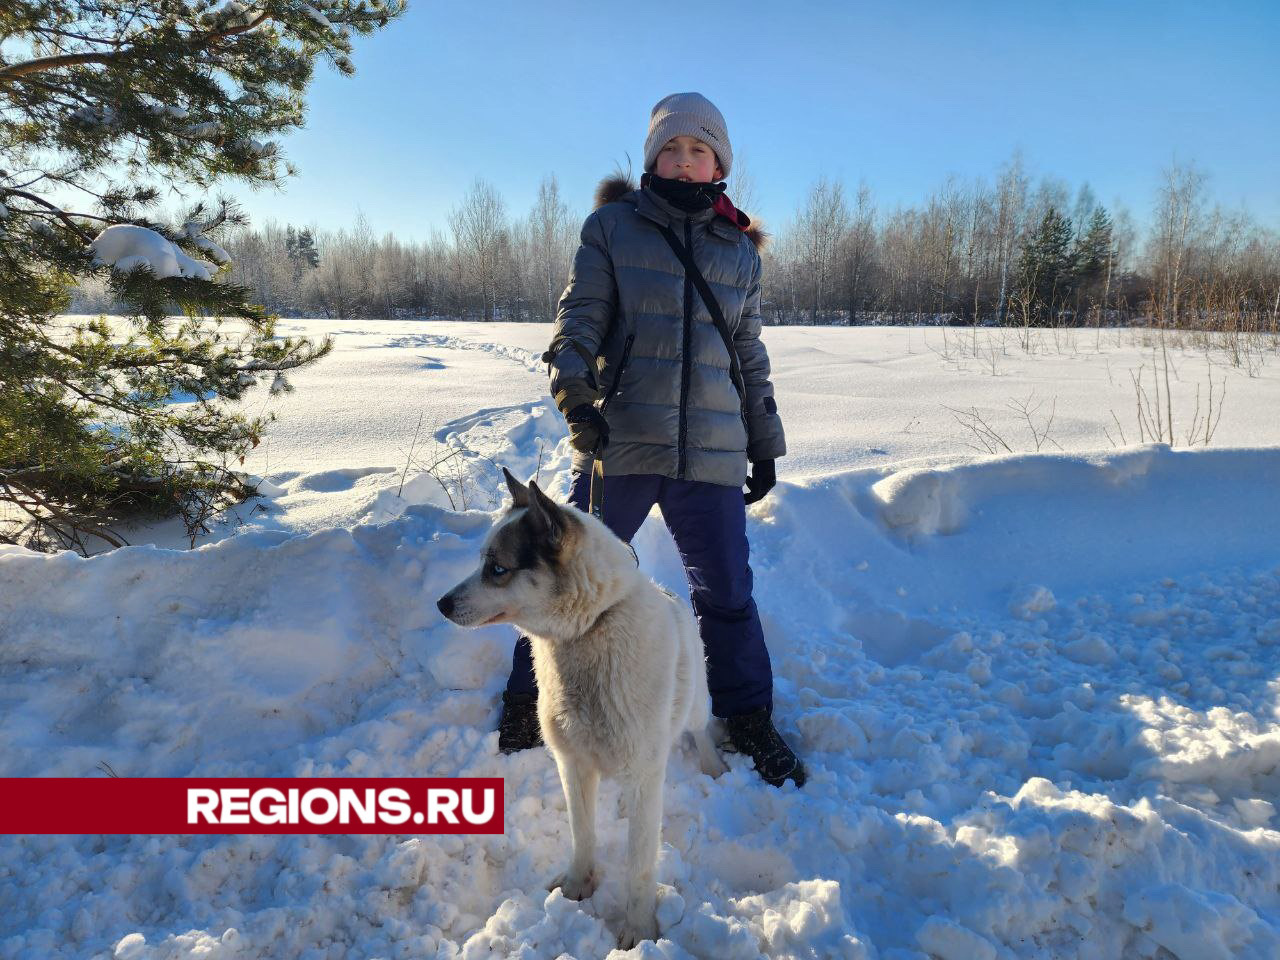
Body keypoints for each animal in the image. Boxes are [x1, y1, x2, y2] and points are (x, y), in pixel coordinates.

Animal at [440, 471, 727, 952]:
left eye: (497, 568)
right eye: (482, 562)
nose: (441, 604)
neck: (589, 630)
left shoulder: (644, 770)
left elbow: (640, 864)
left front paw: (638, 929)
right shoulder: (571, 762)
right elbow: (583, 832)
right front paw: (578, 885)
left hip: (691, 709)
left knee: (700, 729)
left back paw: (712, 764)